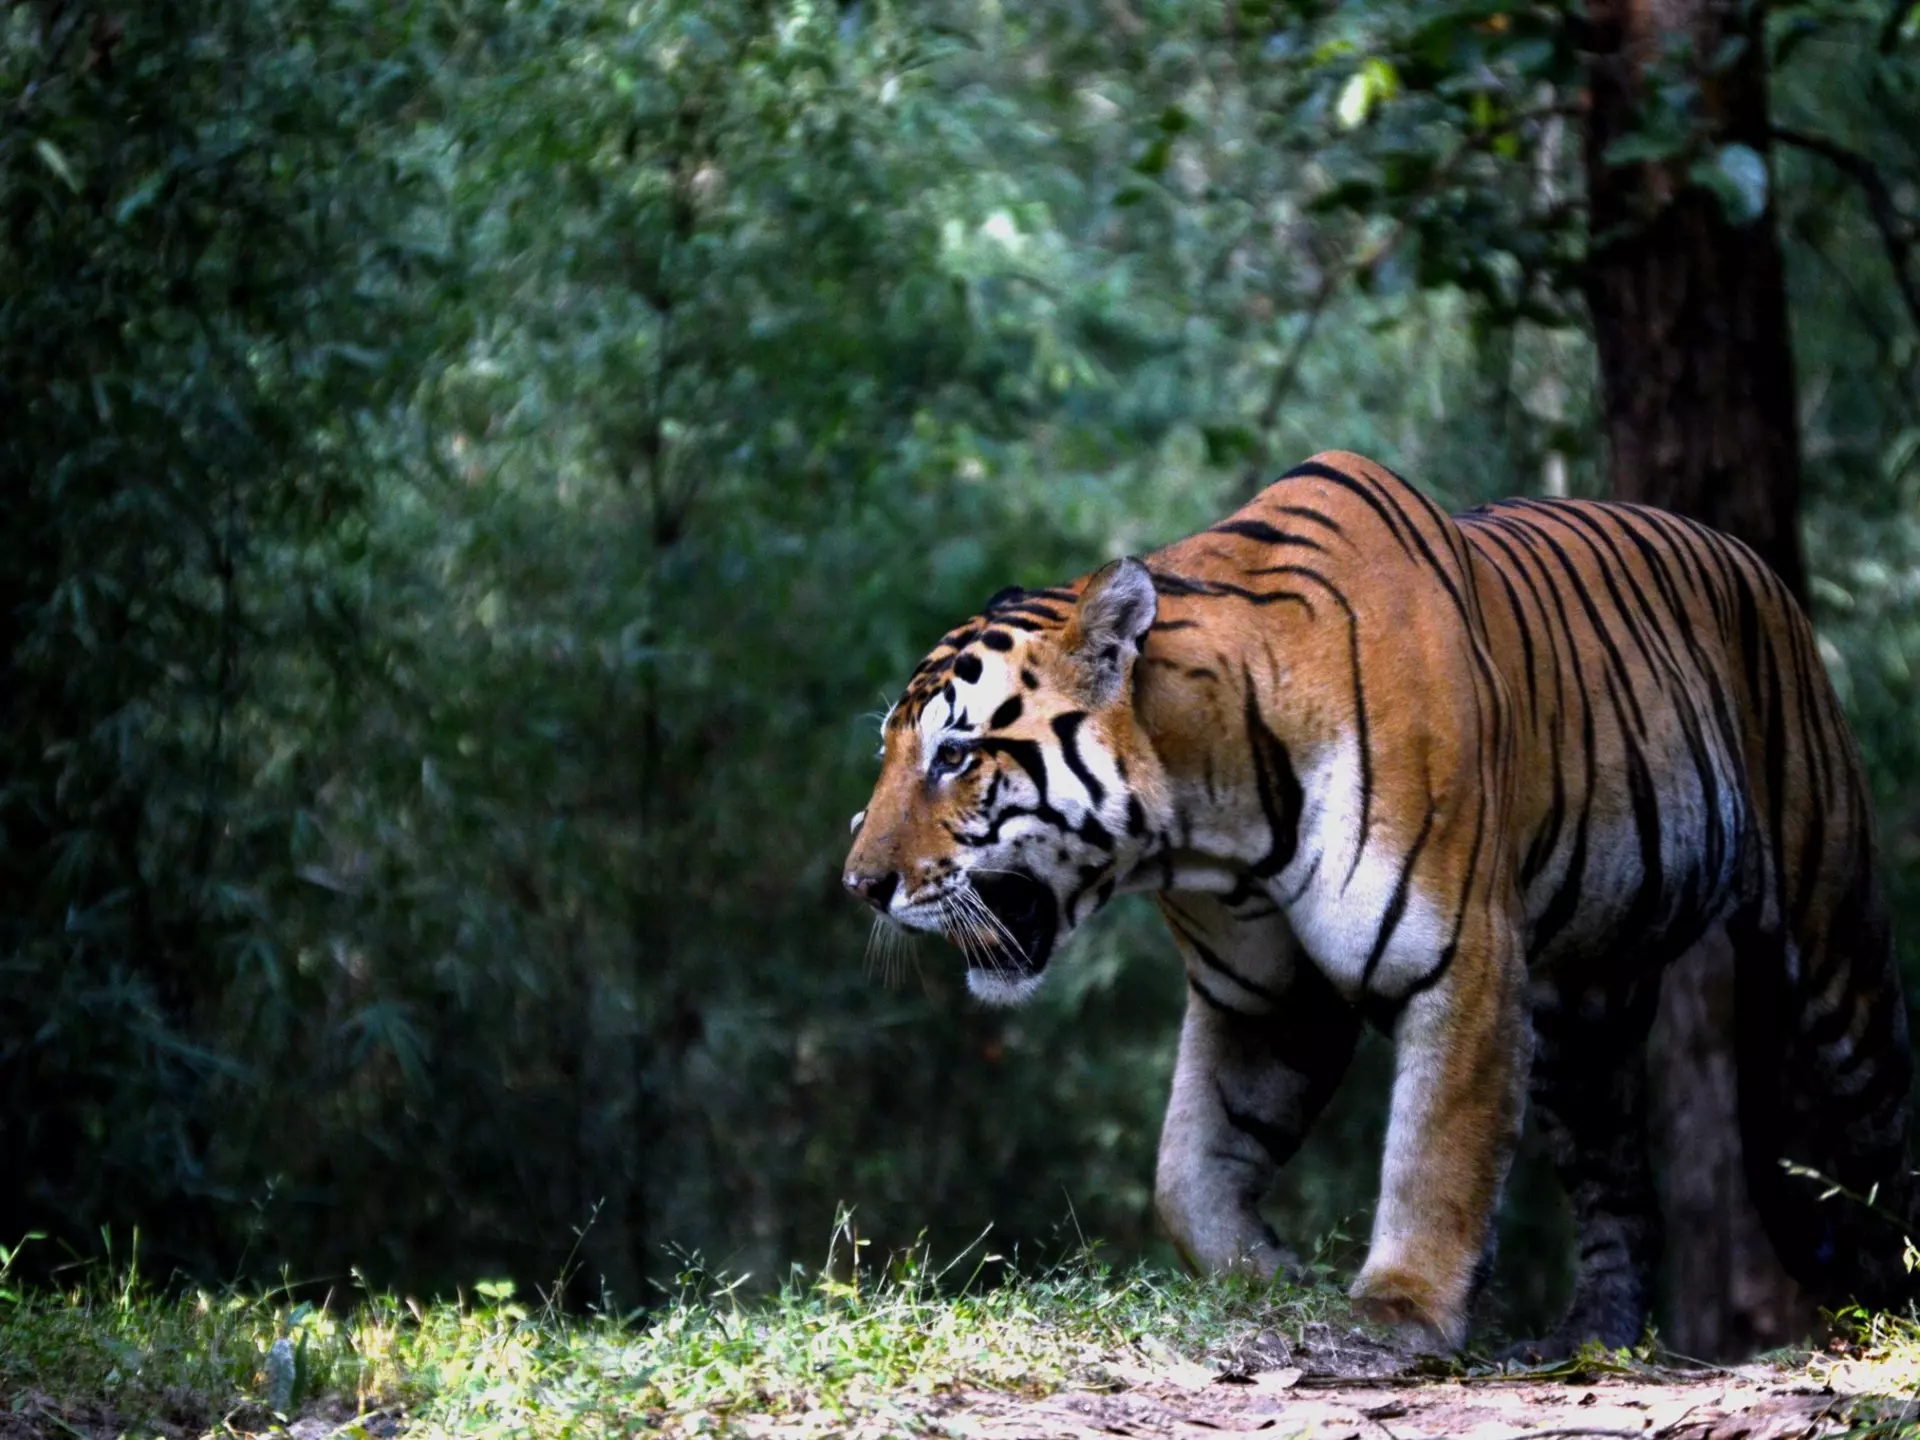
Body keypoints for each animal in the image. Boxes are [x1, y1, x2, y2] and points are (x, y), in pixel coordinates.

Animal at [843, 450, 1916, 1354]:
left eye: (955, 754)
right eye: (892, 750)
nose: (858, 885)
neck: (1210, 824)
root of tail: (1746, 555)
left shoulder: (1460, 959)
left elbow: (1437, 1151)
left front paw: (1398, 1312)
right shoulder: (1263, 999)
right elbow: (1187, 1170)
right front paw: (1268, 1276)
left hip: (1829, 935)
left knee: (1881, 1112)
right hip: (1583, 1020)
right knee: (1618, 1188)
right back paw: (1589, 1340)